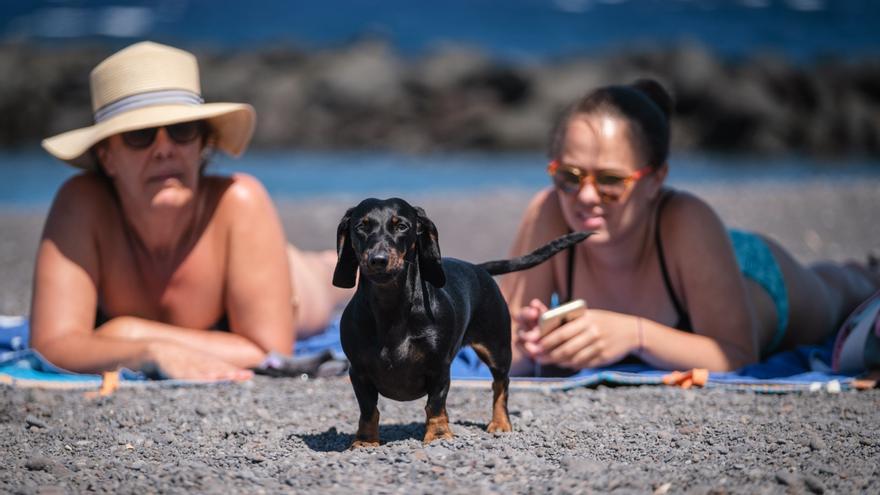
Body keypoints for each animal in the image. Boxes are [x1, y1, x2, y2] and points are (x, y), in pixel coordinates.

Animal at [334, 199, 588, 450]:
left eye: (402, 226)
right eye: (362, 226)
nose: (378, 260)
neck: (391, 308)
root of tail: (479, 268)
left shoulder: (439, 368)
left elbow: (435, 405)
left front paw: (438, 435)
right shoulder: (358, 371)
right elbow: (368, 409)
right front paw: (366, 440)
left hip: (497, 350)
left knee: (501, 384)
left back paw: (500, 423)